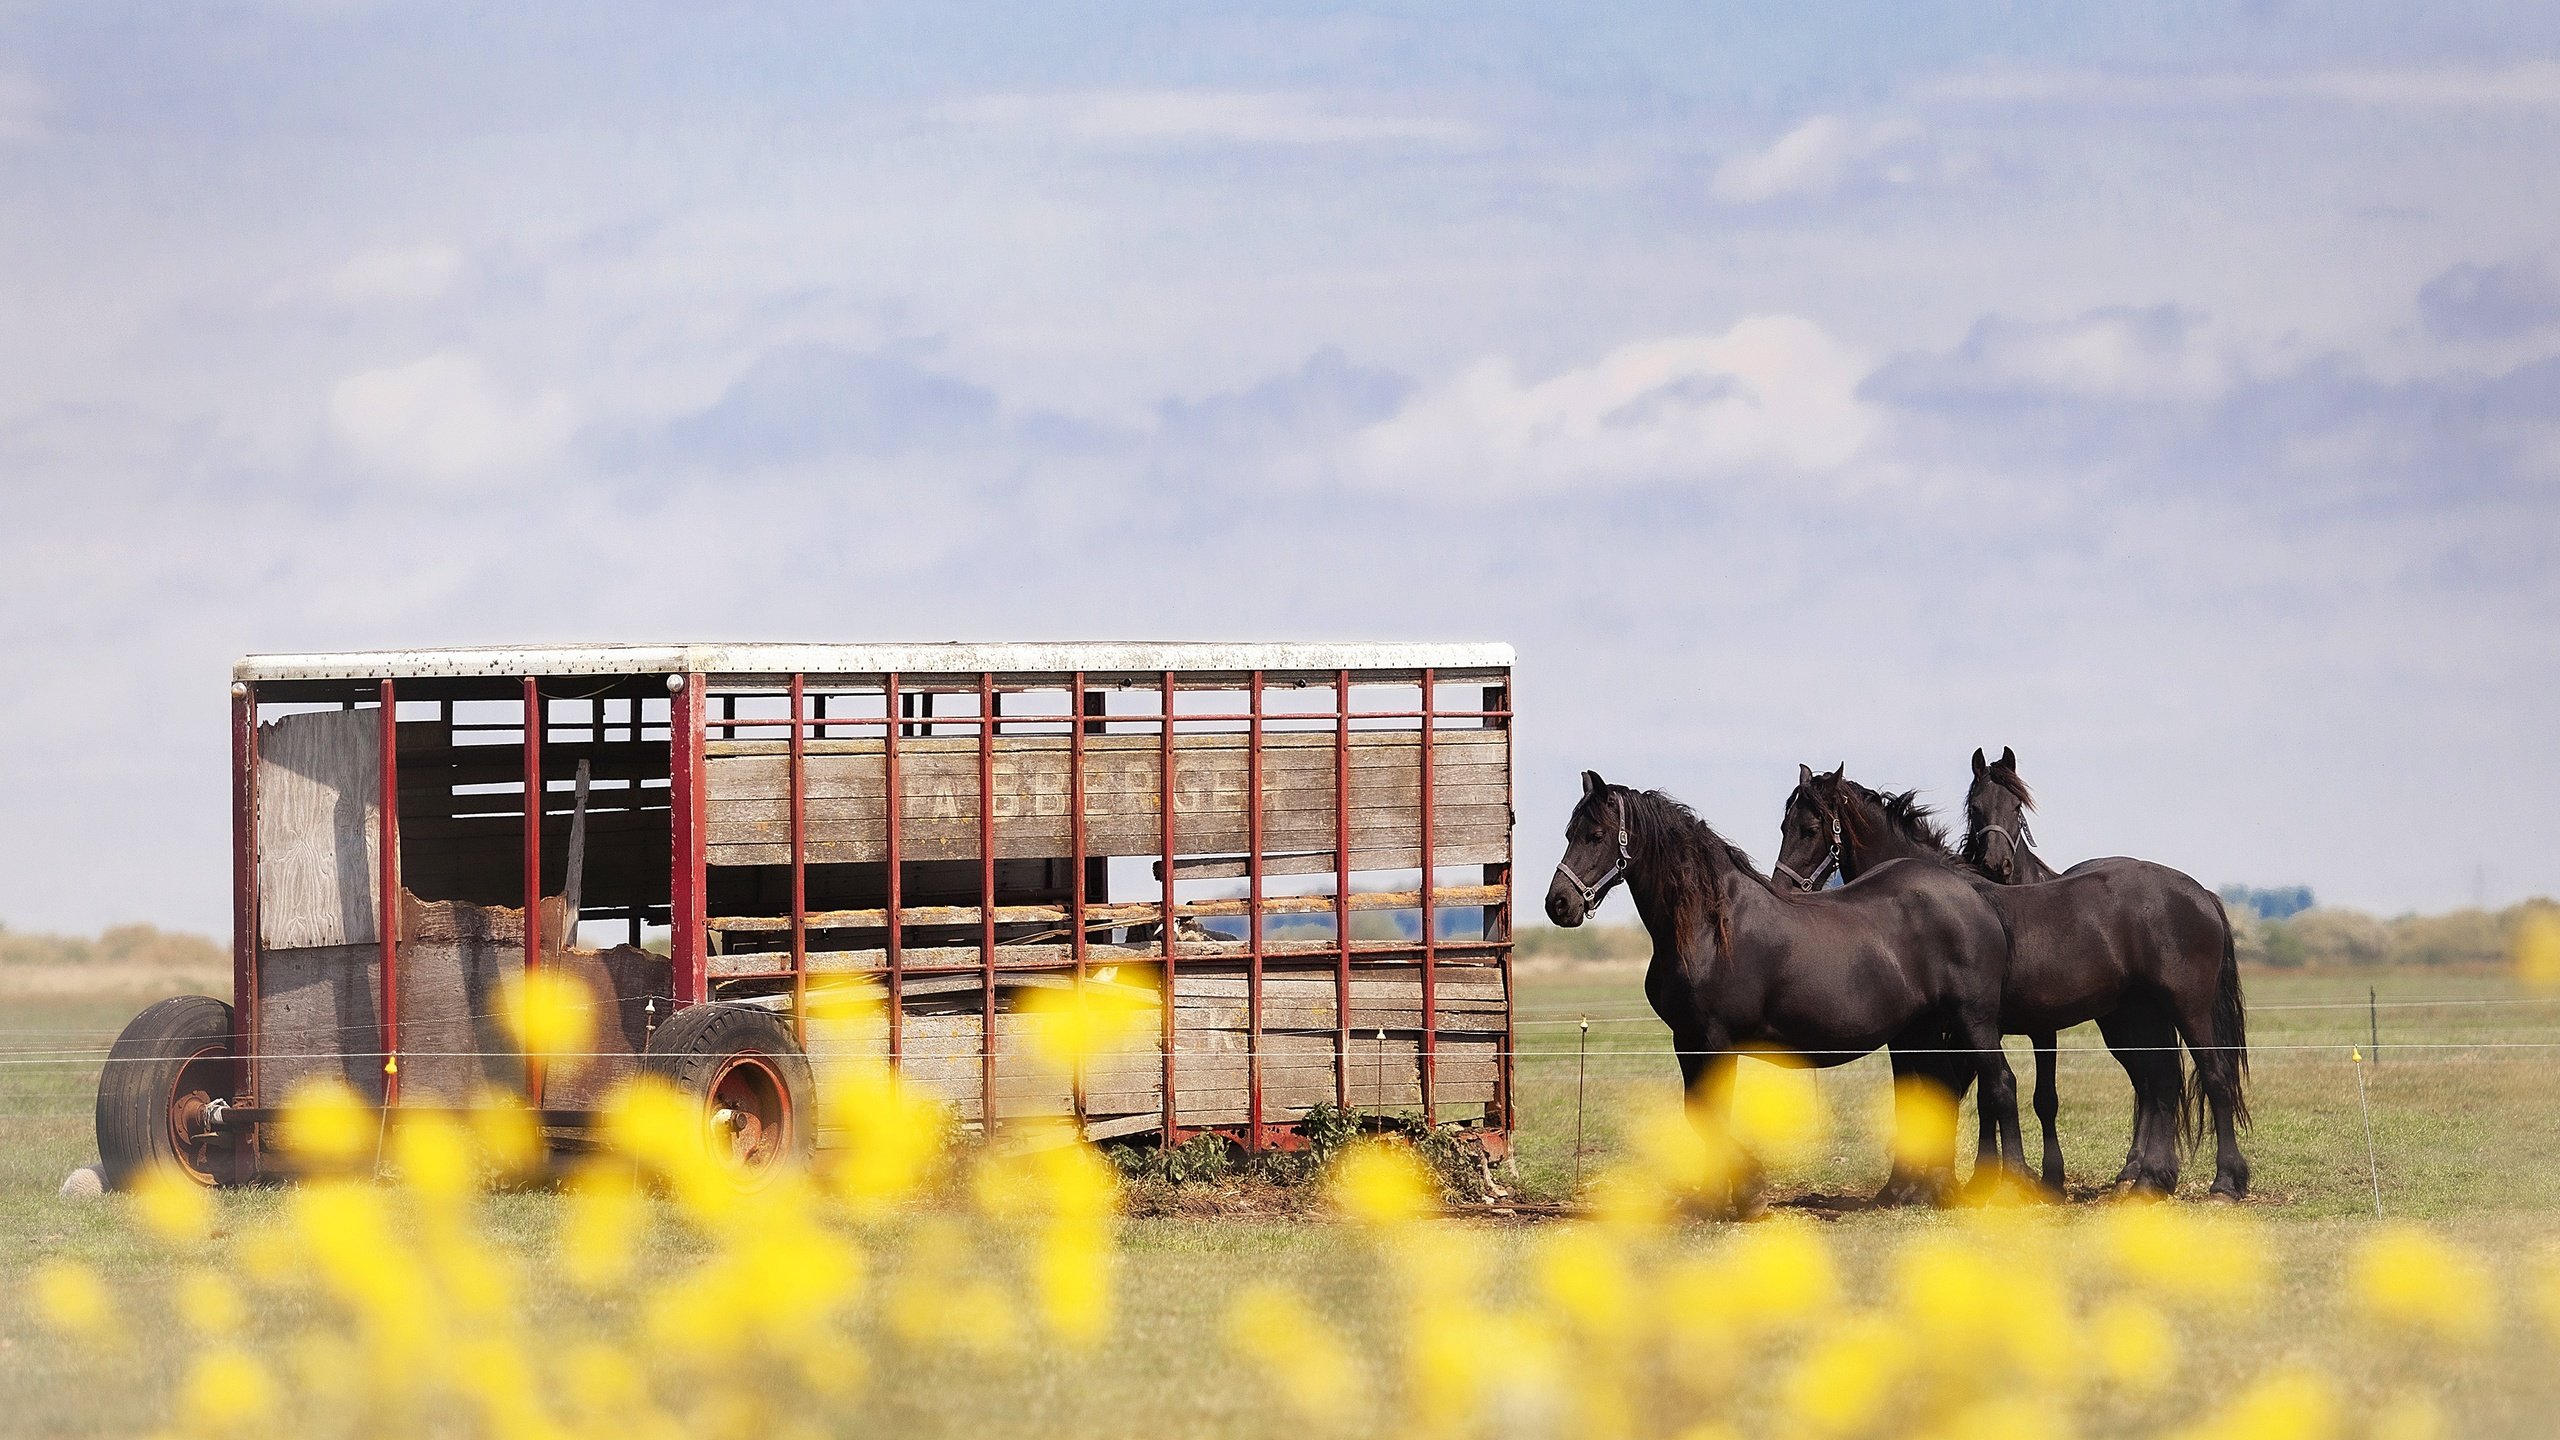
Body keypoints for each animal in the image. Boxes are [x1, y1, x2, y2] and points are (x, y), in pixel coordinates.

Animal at [1536, 768, 2017, 1204]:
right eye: (1569, 833)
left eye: (1596, 835)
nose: (1558, 903)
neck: (1710, 926)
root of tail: (1975, 897)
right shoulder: (1686, 1040)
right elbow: (1698, 1114)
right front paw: (1717, 1195)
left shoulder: (1714, 1040)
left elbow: (1713, 1115)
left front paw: (1741, 1193)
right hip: (1920, 1030)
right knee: (1941, 1095)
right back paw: (1929, 1190)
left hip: (1972, 1020)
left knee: (2000, 1085)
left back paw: (2011, 1187)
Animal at [1781, 763, 2181, 1188]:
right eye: (1783, 825)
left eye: (1810, 829)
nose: (1781, 886)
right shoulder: (1917, 1033)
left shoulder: (1974, 1027)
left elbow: (1981, 1094)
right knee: (2150, 1080)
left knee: (2150, 1081)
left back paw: (2138, 1171)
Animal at [1966, 743, 2252, 1194]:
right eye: (1976, 807)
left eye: (2016, 807)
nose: (1997, 864)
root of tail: (2202, 894)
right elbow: (1991, 1097)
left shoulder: (2041, 1029)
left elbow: (2042, 1098)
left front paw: (2048, 1178)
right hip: (2131, 1023)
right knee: (2154, 1083)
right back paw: (2143, 1172)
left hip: (2180, 1012)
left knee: (2201, 1078)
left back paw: (2215, 1181)